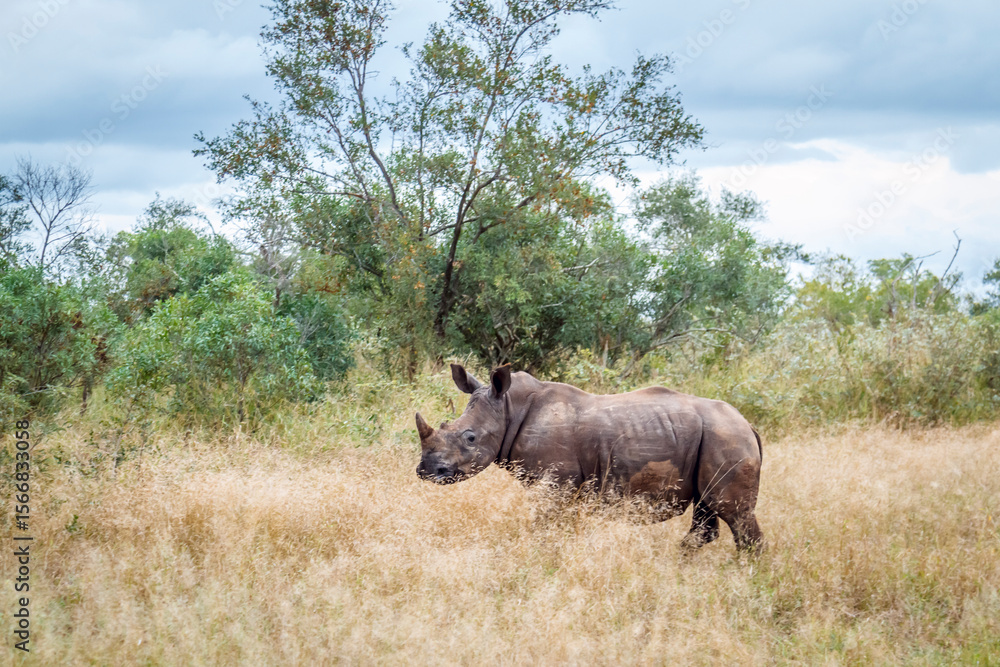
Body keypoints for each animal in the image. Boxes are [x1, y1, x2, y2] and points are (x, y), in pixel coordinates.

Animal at [416, 364, 765, 553]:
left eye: (470, 438)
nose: (426, 471)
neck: (509, 409)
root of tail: (748, 424)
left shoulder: (556, 485)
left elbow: (545, 529)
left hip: (727, 437)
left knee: (735, 515)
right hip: (719, 437)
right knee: (706, 513)